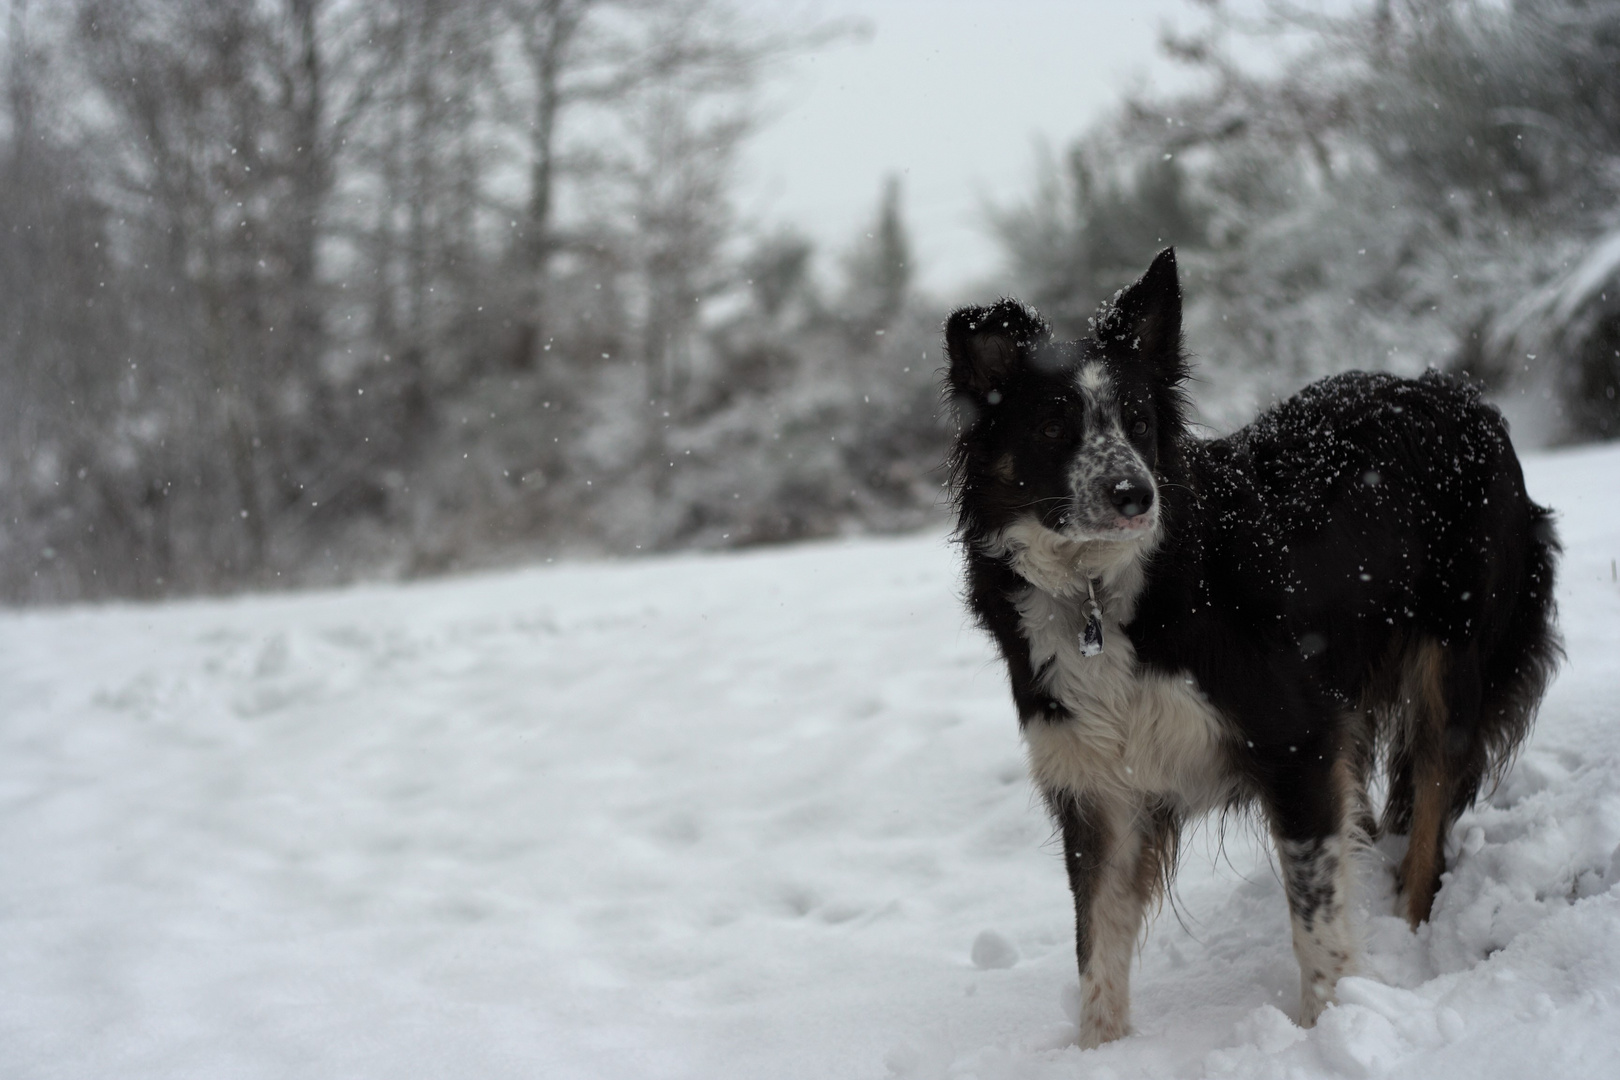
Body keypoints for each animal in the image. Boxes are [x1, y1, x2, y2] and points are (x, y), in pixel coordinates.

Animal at [946, 247, 1561, 1049]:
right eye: (1053, 427)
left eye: (1138, 422)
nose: (1135, 495)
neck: (1101, 591)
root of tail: (1456, 391)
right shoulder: (1098, 786)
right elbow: (1097, 951)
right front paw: (1100, 1052)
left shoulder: (1296, 741)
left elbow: (1316, 919)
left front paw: (1332, 1022)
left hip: (1452, 666)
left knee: (1430, 818)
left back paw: (1410, 939)